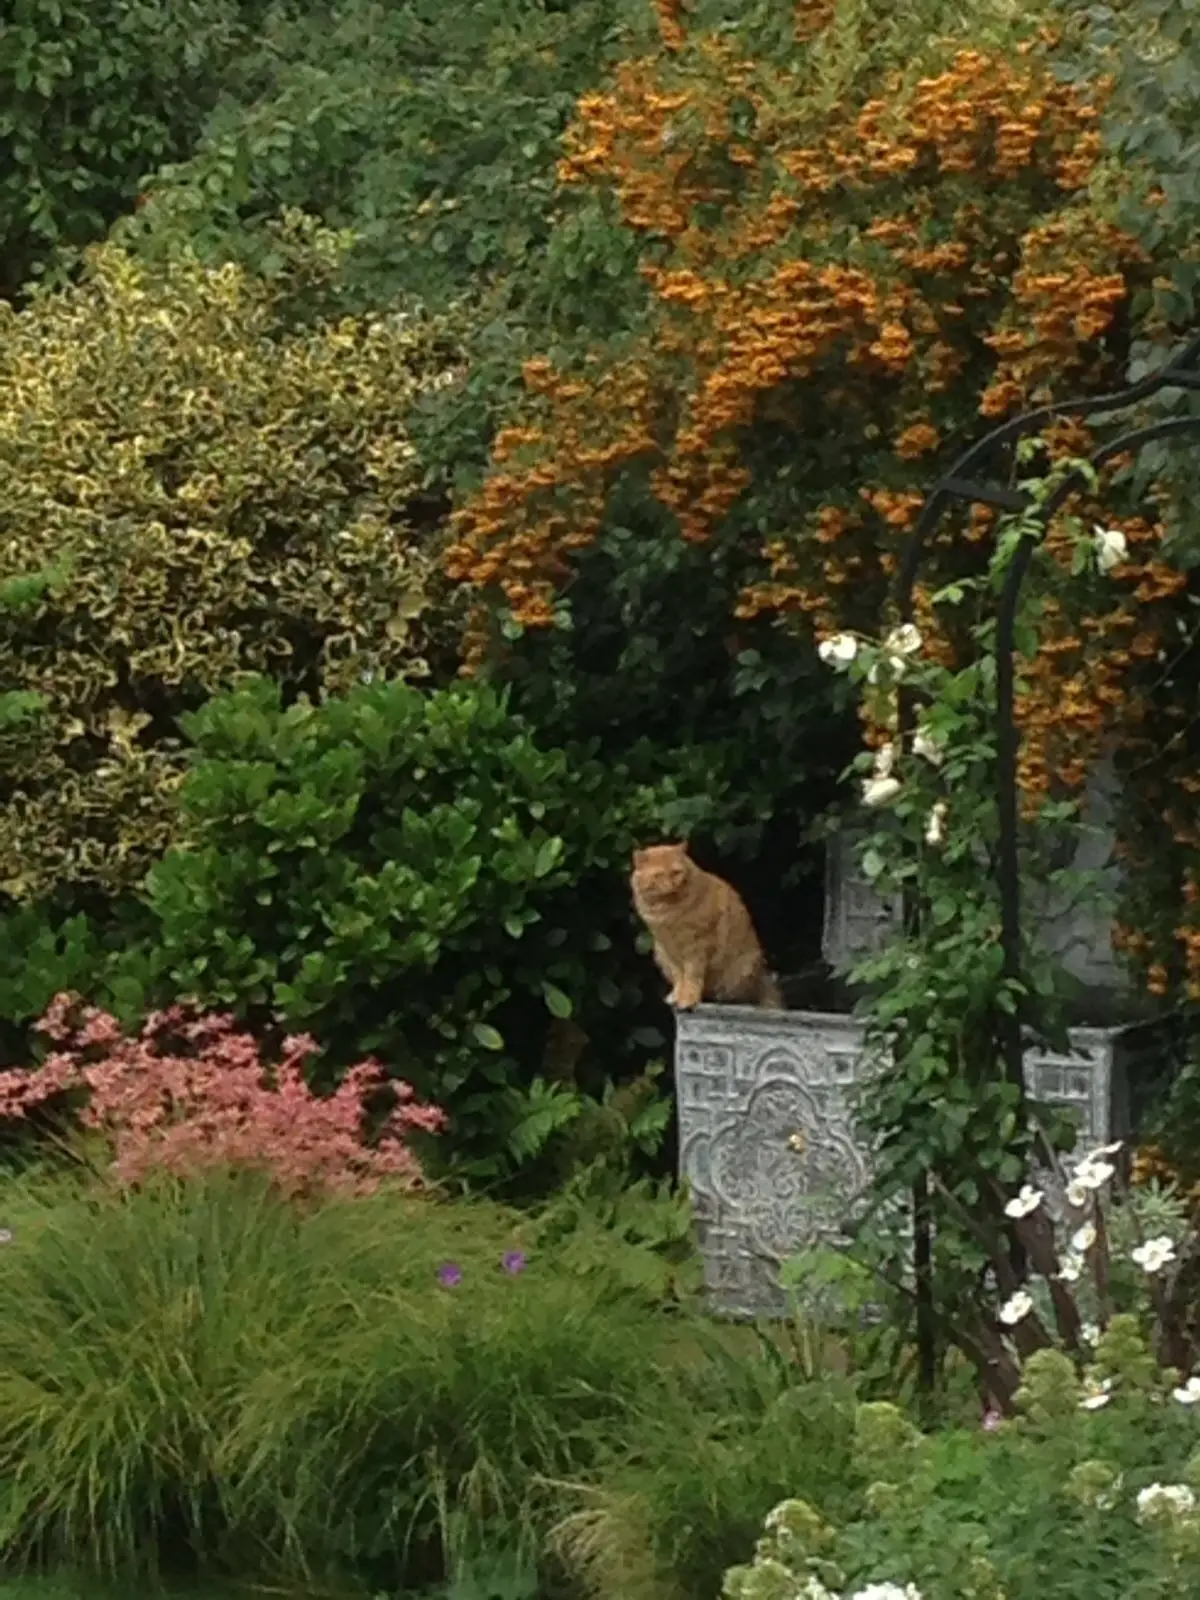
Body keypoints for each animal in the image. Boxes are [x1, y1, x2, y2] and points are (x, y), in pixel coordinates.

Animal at [630, 842, 783, 1011]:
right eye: (658, 875)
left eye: (676, 873)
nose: (672, 885)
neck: (668, 911)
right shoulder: (668, 950)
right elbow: (679, 977)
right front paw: (678, 995)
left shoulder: (696, 947)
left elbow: (691, 977)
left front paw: (687, 999)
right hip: (659, 954)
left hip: (744, 968)